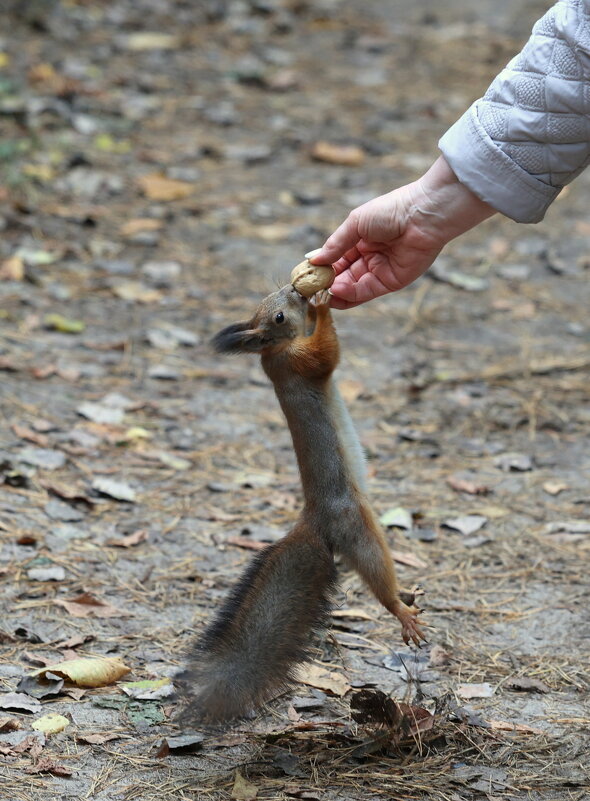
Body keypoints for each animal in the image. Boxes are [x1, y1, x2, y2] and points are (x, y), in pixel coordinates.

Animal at [178, 284, 428, 720]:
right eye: (277, 316)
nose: (295, 290)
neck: (275, 350)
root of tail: (314, 522)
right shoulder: (301, 362)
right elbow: (327, 353)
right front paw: (324, 307)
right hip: (358, 526)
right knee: (376, 571)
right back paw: (400, 609)